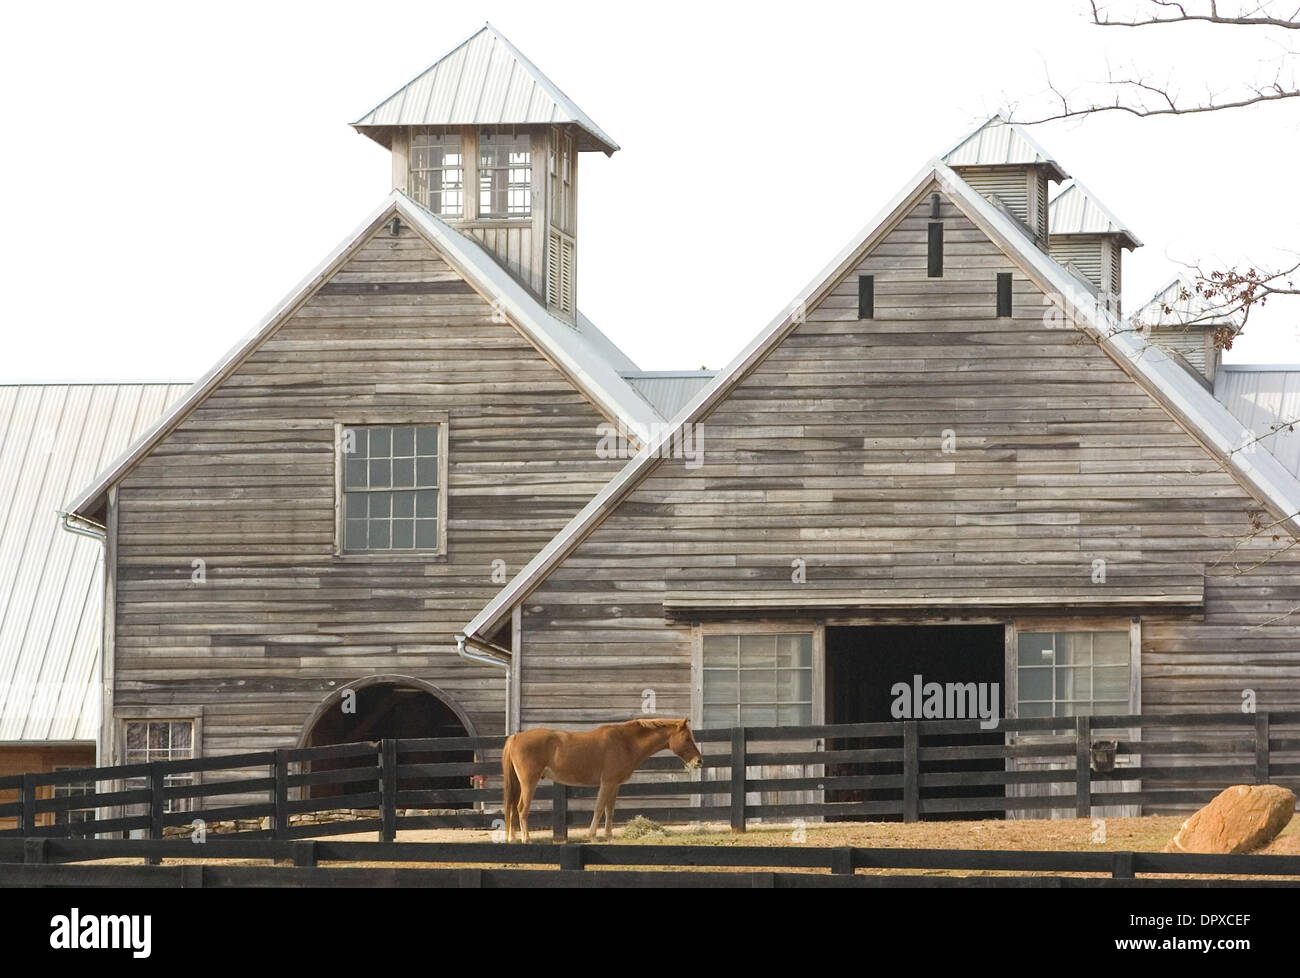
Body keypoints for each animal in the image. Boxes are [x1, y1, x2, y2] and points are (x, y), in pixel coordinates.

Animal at [500, 718, 703, 843]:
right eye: (687, 738)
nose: (699, 761)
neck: (625, 742)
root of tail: (516, 737)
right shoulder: (607, 783)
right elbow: (598, 808)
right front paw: (593, 835)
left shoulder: (615, 785)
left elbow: (609, 810)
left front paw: (609, 836)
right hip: (529, 783)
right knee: (522, 808)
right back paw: (526, 838)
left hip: (519, 784)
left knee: (512, 808)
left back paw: (513, 838)